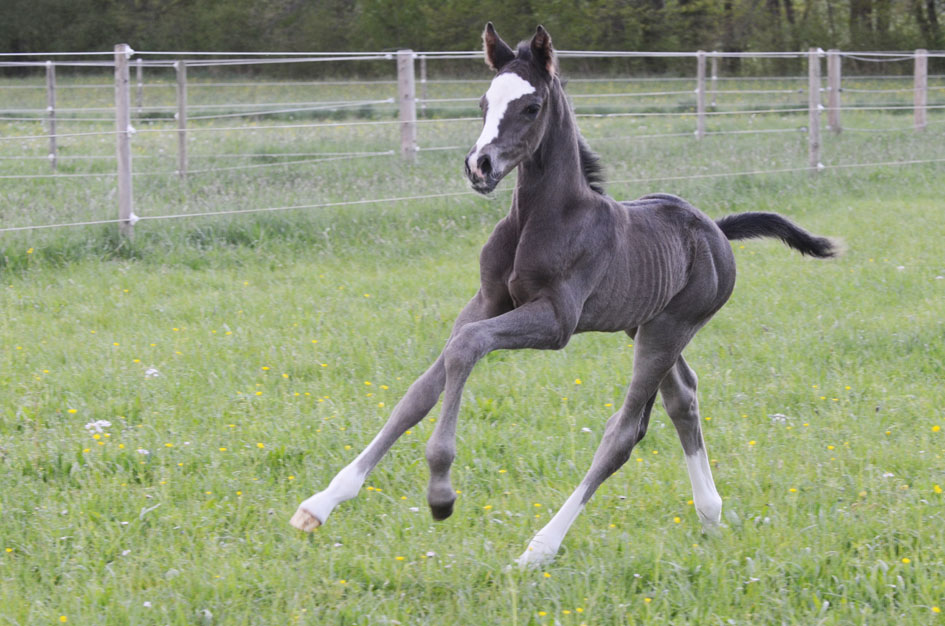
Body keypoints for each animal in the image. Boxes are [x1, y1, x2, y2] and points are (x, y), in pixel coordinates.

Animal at [292, 23, 836, 564]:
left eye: (531, 107)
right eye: (483, 102)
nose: (479, 166)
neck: (542, 219)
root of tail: (717, 231)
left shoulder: (556, 322)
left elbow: (467, 347)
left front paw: (441, 493)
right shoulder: (486, 301)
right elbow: (422, 390)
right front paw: (321, 503)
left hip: (669, 328)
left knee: (623, 433)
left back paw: (540, 547)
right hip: (644, 324)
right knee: (683, 399)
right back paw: (710, 512)